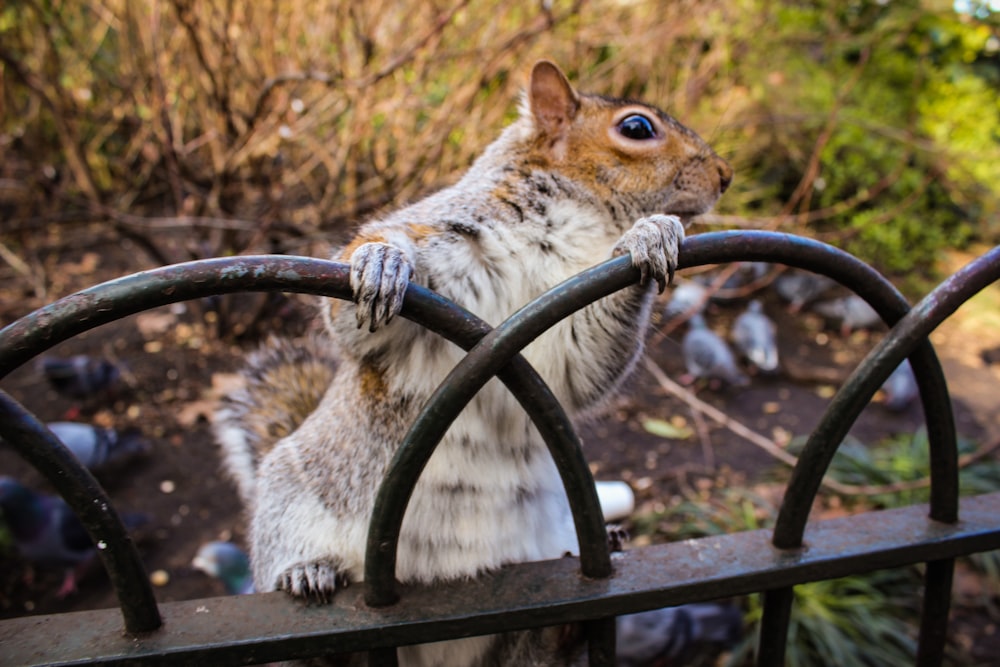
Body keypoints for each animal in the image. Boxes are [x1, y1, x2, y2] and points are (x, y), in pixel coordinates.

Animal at [215, 60, 732, 664]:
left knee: (539, 644)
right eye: (636, 127)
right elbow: (358, 321)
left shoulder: (566, 332)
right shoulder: (443, 232)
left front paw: (652, 233)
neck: (578, 225)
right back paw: (307, 573)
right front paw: (381, 261)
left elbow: (586, 366)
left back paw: (586, 576)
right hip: (288, 499)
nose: (726, 175)